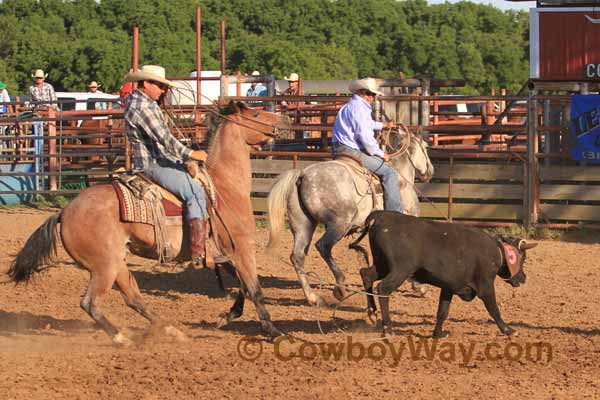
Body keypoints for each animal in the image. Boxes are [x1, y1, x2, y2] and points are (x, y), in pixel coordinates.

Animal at [8, 101, 290, 344]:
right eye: (256, 114)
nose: (285, 119)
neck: (224, 187)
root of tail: (64, 212)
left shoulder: (227, 256)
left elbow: (244, 286)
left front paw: (226, 317)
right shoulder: (241, 248)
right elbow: (254, 288)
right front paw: (274, 332)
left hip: (117, 264)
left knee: (133, 298)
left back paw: (170, 330)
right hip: (103, 268)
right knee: (91, 303)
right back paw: (122, 338)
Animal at [268, 128, 432, 306]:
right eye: (426, 147)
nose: (430, 171)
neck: (401, 178)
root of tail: (302, 175)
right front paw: (419, 286)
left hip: (303, 226)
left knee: (297, 256)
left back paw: (312, 297)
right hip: (340, 223)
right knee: (323, 246)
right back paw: (340, 288)